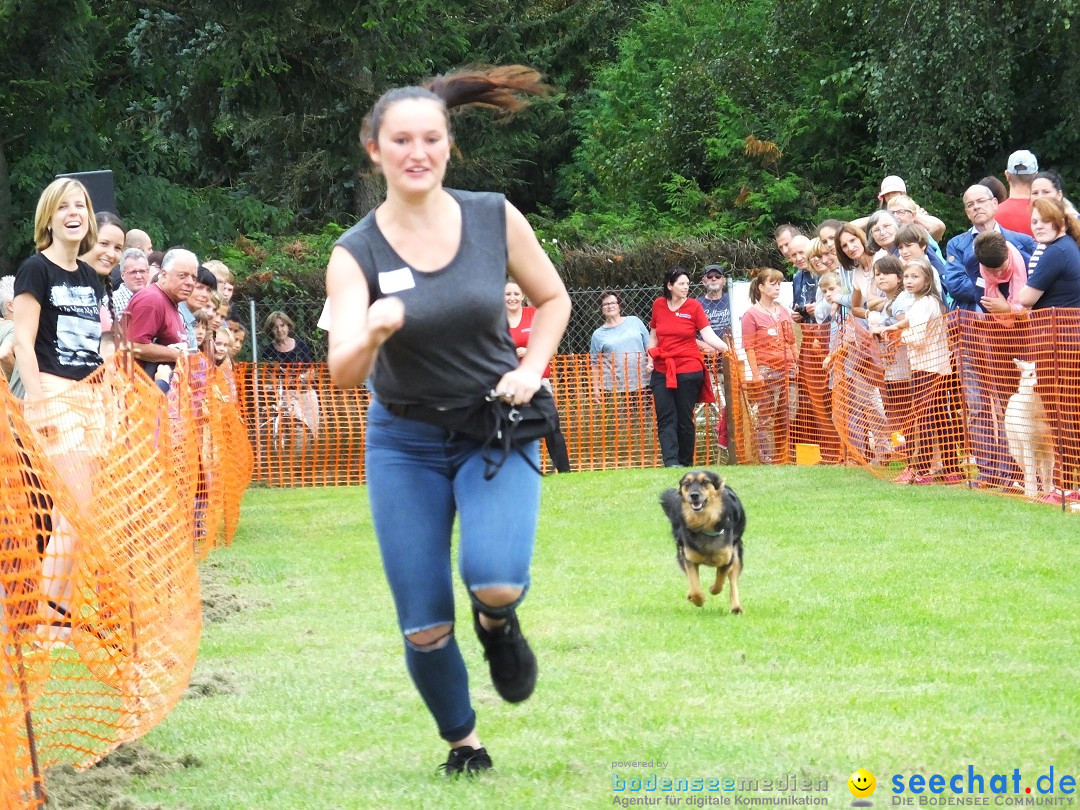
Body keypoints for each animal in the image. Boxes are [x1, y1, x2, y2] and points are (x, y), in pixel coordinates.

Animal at [656, 473, 743, 613]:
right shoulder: (689, 558)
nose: (694, 495)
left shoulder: (727, 559)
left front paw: (712, 588)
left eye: (705, 482)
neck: (704, 523)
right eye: (687, 483)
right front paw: (698, 599)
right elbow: (695, 587)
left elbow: (720, 581)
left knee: (733, 583)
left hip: (737, 555)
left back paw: (736, 608)